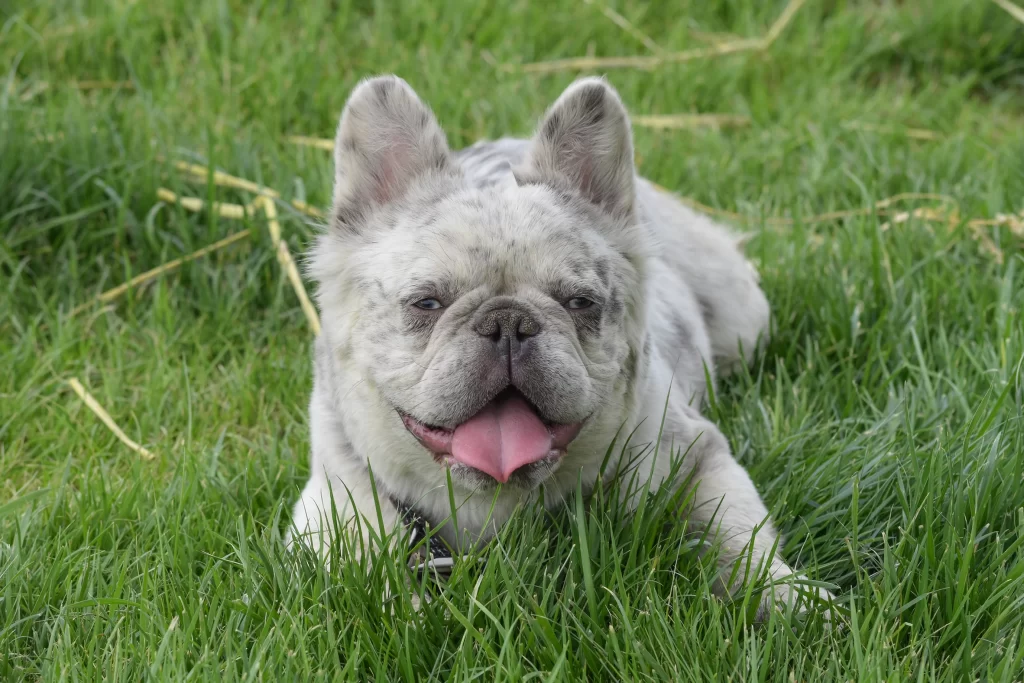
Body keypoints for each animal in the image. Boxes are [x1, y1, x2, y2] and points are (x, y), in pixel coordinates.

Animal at [288, 74, 831, 618]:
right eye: (426, 302)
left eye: (580, 302)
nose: (509, 322)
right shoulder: (336, 505)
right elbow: (363, 568)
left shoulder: (699, 456)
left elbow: (738, 536)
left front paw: (785, 597)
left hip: (743, 318)